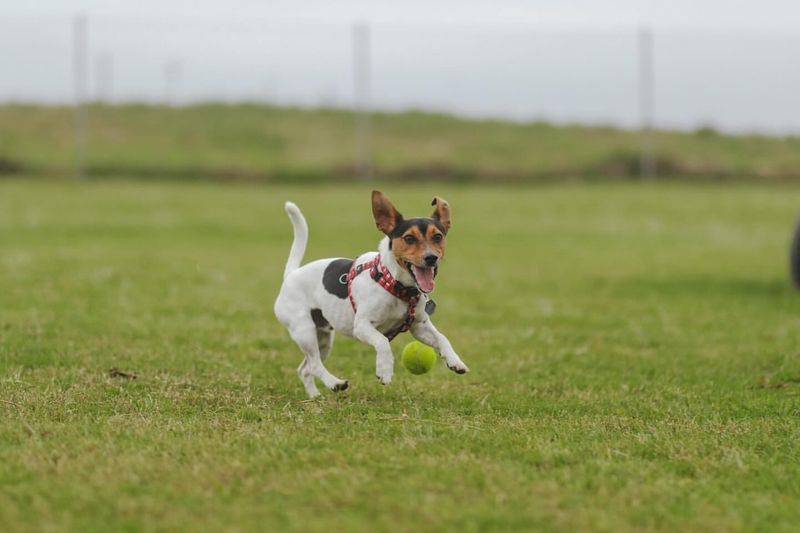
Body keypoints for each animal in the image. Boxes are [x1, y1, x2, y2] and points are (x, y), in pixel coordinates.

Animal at [276, 190, 468, 394]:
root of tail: (291, 274)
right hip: (304, 332)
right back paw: (335, 383)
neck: (396, 284)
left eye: (438, 236)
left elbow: (443, 338)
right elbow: (382, 341)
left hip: (323, 338)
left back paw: (315, 396)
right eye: (409, 238)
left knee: (305, 369)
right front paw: (384, 370)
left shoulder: (420, 326)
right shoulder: (362, 326)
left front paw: (454, 360)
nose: (431, 257)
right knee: (314, 364)